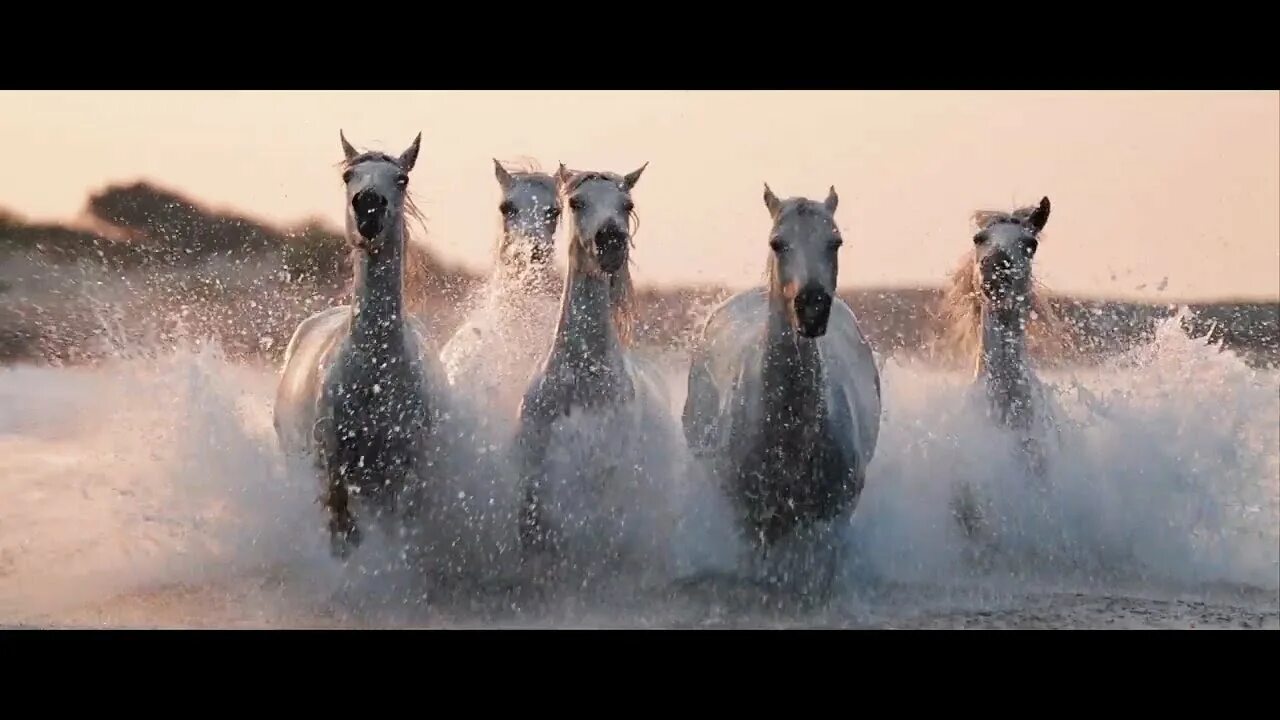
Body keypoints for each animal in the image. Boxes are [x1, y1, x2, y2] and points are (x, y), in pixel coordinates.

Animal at [680, 181, 880, 597]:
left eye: (835, 241)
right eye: (777, 242)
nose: (812, 307)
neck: (788, 432)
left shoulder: (834, 517)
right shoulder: (750, 519)